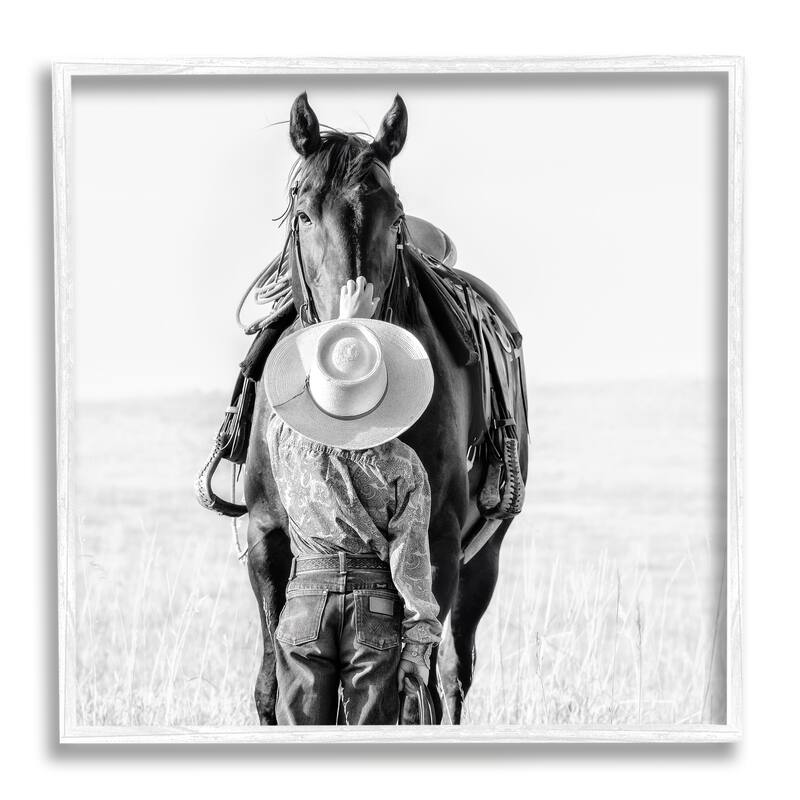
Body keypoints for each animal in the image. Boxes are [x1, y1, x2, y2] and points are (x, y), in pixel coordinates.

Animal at [244, 92, 529, 724]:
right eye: (303, 213)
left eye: (394, 216)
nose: (352, 343)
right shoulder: (265, 535)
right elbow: (273, 688)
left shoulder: (437, 543)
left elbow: (414, 688)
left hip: (483, 559)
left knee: (450, 677)